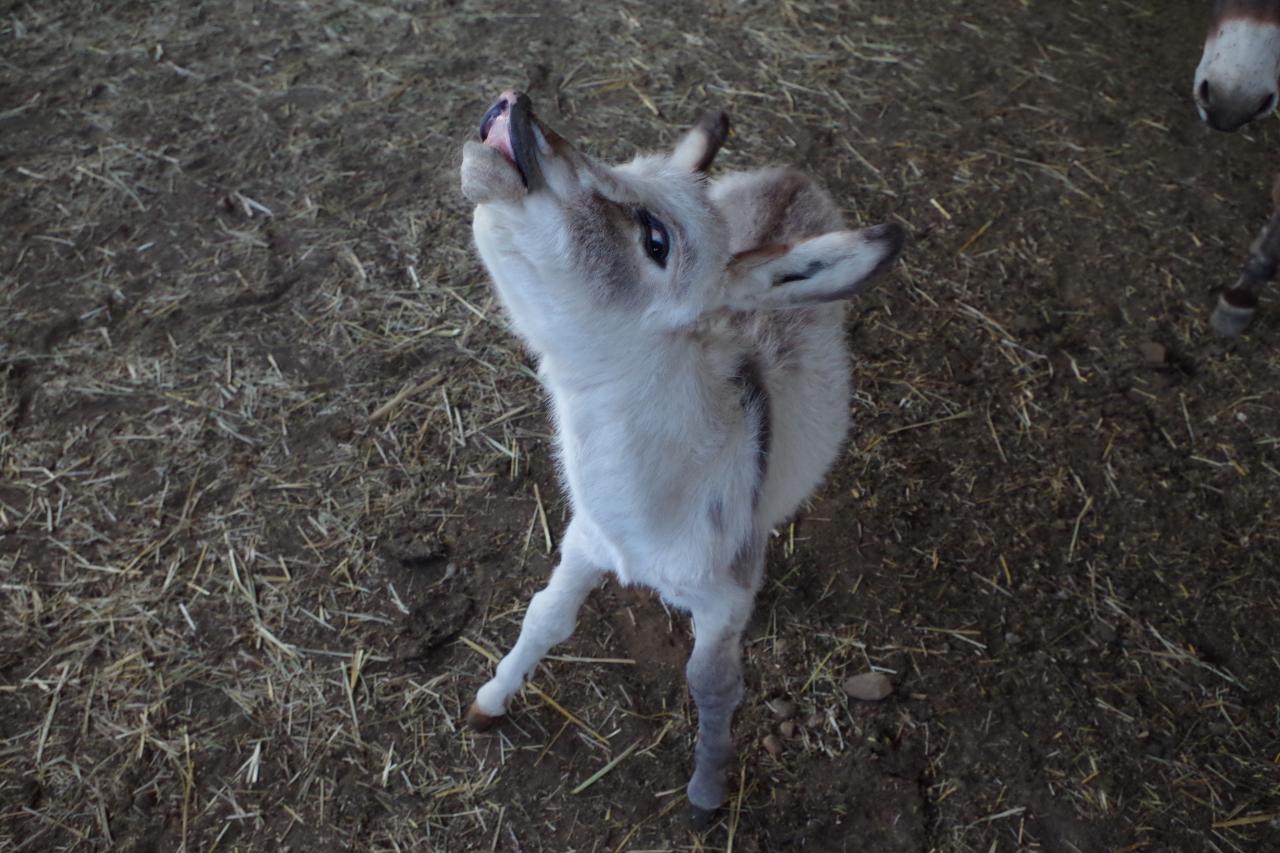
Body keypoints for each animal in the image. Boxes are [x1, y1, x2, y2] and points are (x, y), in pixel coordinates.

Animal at [455, 91, 906, 824]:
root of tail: (791, 177)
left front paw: (706, 792)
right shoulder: (586, 539)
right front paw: (491, 701)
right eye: (616, 163)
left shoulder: (725, 597)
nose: (515, 105)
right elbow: (545, 614)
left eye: (656, 241)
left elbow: (711, 684)